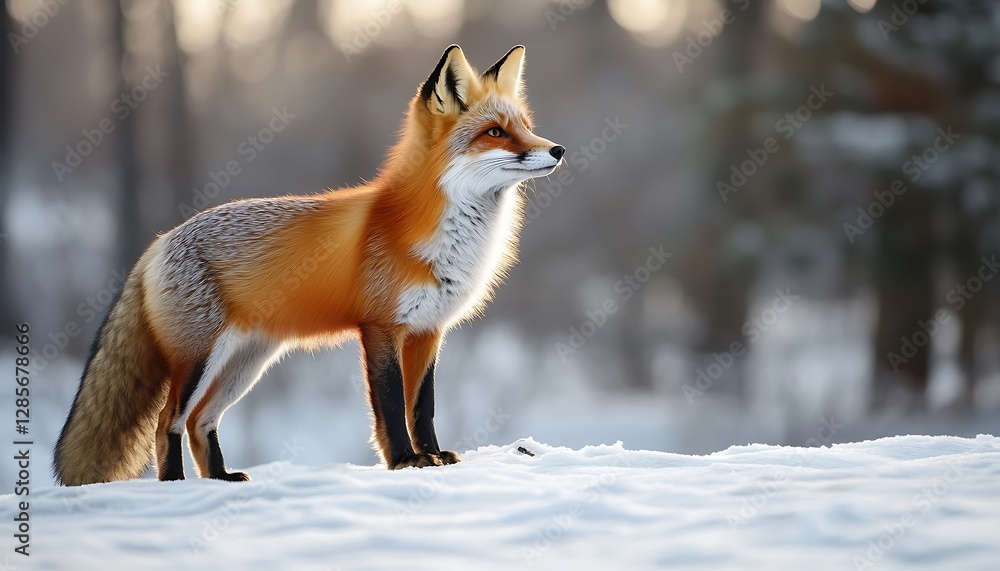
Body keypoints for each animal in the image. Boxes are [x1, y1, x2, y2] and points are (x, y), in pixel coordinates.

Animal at [53, 45, 565, 485]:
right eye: (495, 132)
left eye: (525, 126)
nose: (557, 149)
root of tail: (158, 242)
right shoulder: (380, 327)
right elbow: (391, 407)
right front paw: (405, 462)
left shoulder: (428, 331)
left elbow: (423, 407)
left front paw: (434, 455)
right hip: (198, 359)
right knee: (167, 422)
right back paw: (176, 486)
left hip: (245, 364)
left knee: (200, 421)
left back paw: (220, 479)